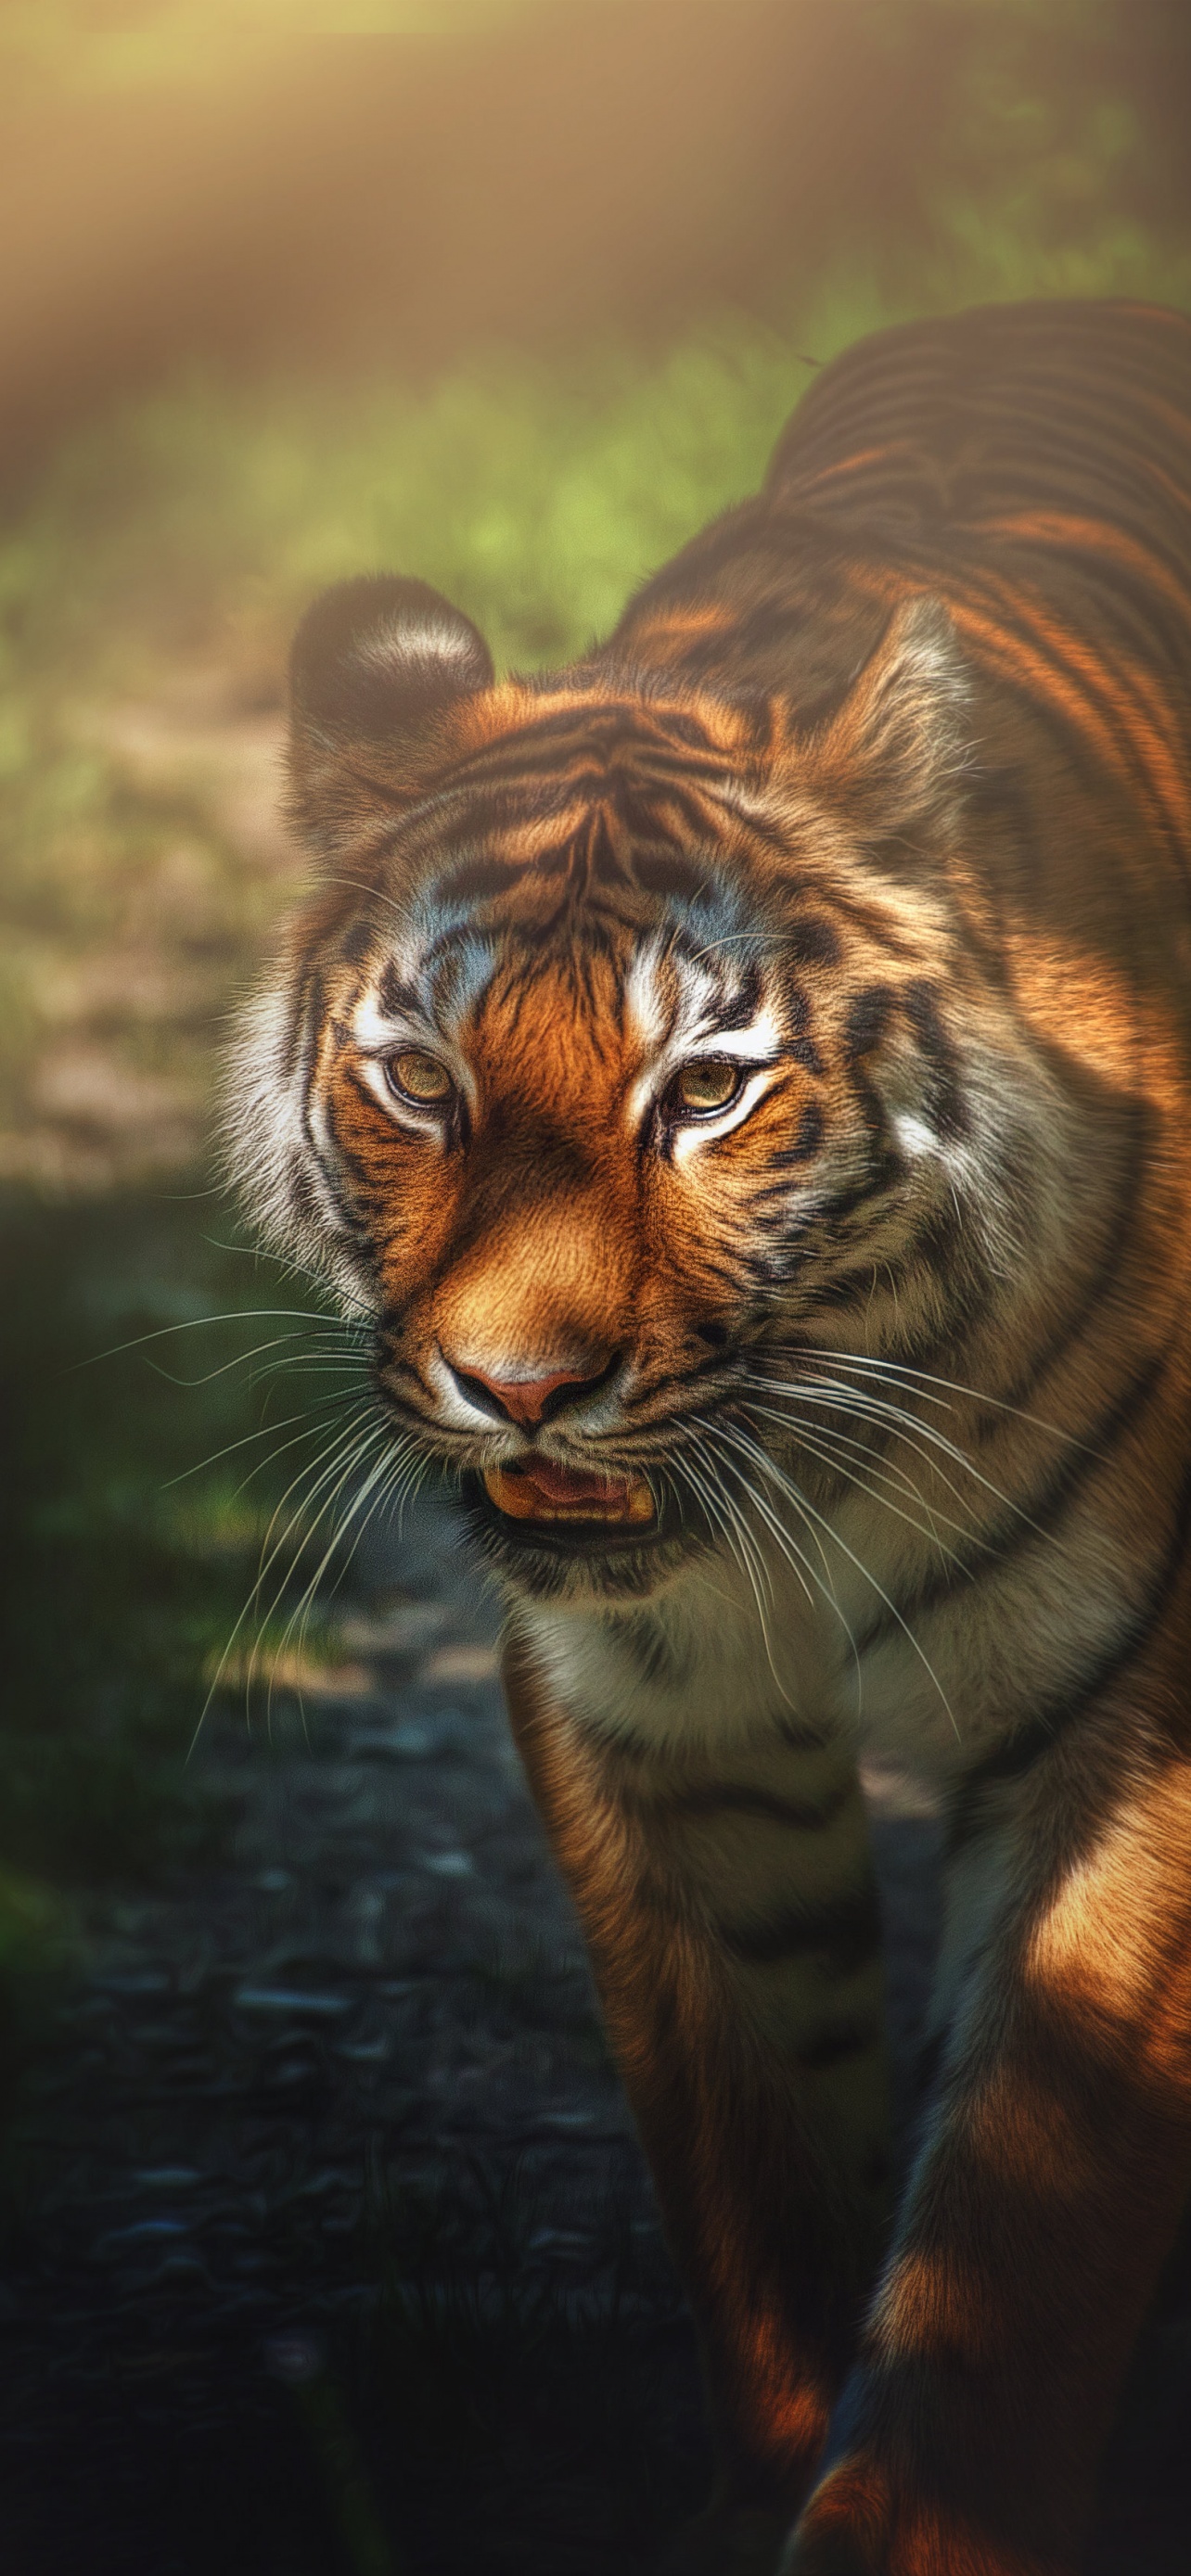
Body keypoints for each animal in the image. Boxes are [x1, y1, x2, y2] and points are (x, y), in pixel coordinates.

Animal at [225, 298, 1191, 2575]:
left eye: (703, 1094)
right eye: (420, 1082)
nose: (518, 1385)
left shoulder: (1134, 1714)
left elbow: (1015, 2244)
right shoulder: (656, 1726)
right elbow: (755, 2170)